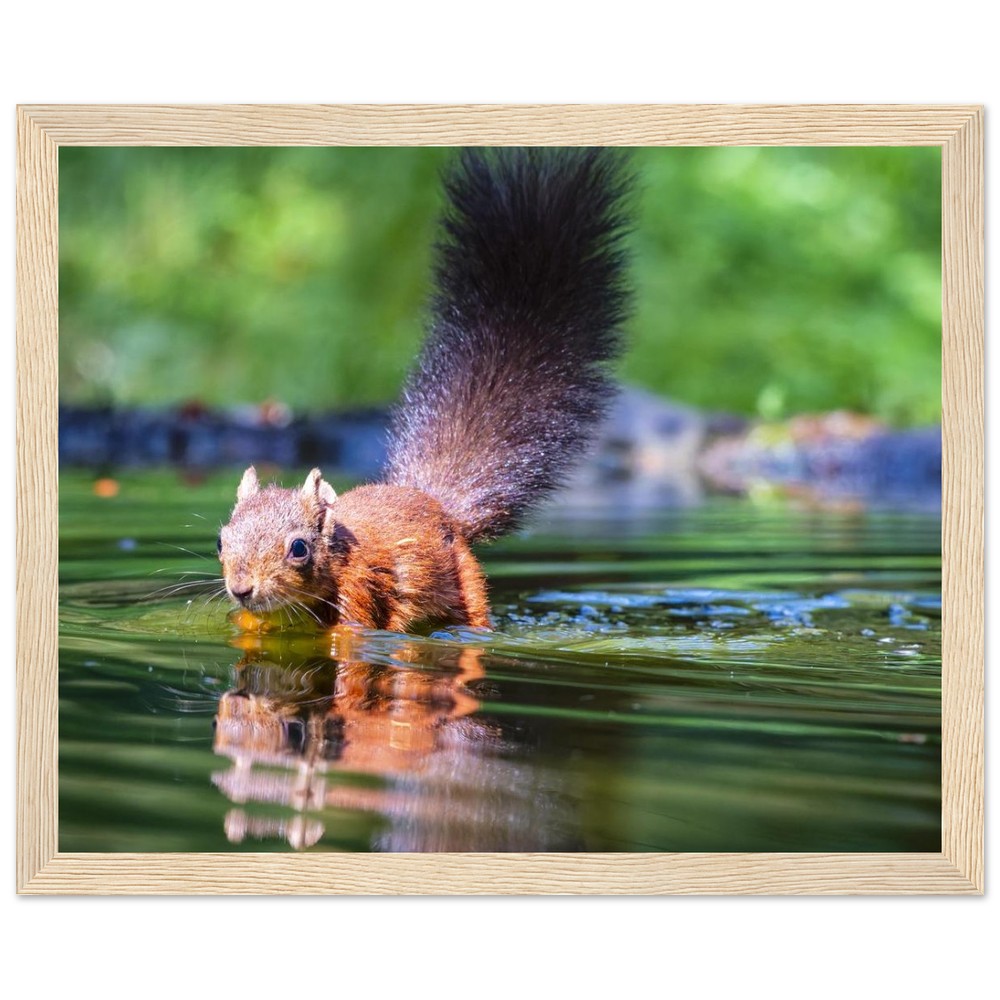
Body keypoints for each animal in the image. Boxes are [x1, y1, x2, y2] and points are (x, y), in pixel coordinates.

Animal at [217, 148, 633, 632]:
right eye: (221, 541)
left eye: (299, 548)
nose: (242, 589)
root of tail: (435, 503)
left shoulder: (361, 587)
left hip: (466, 578)